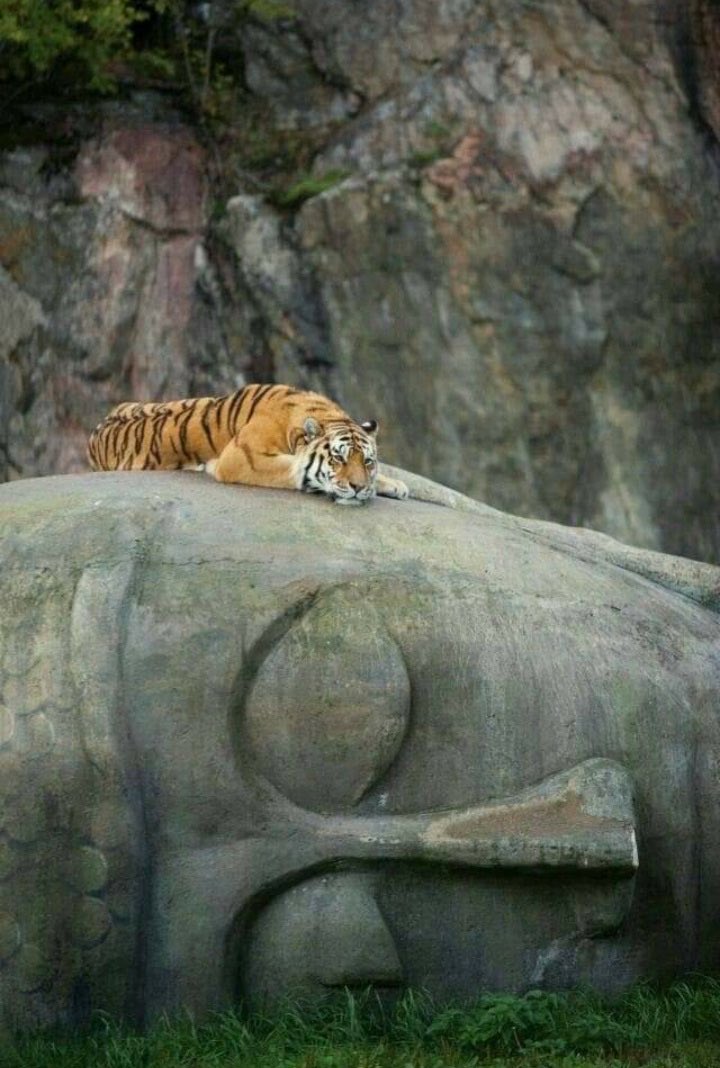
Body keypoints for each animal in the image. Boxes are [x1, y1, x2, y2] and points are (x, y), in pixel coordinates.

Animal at [86, 383, 409, 506]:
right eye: (338, 458)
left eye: (367, 460)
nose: (357, 488)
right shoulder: (243, 457)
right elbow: (295, 468)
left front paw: (392, 485)